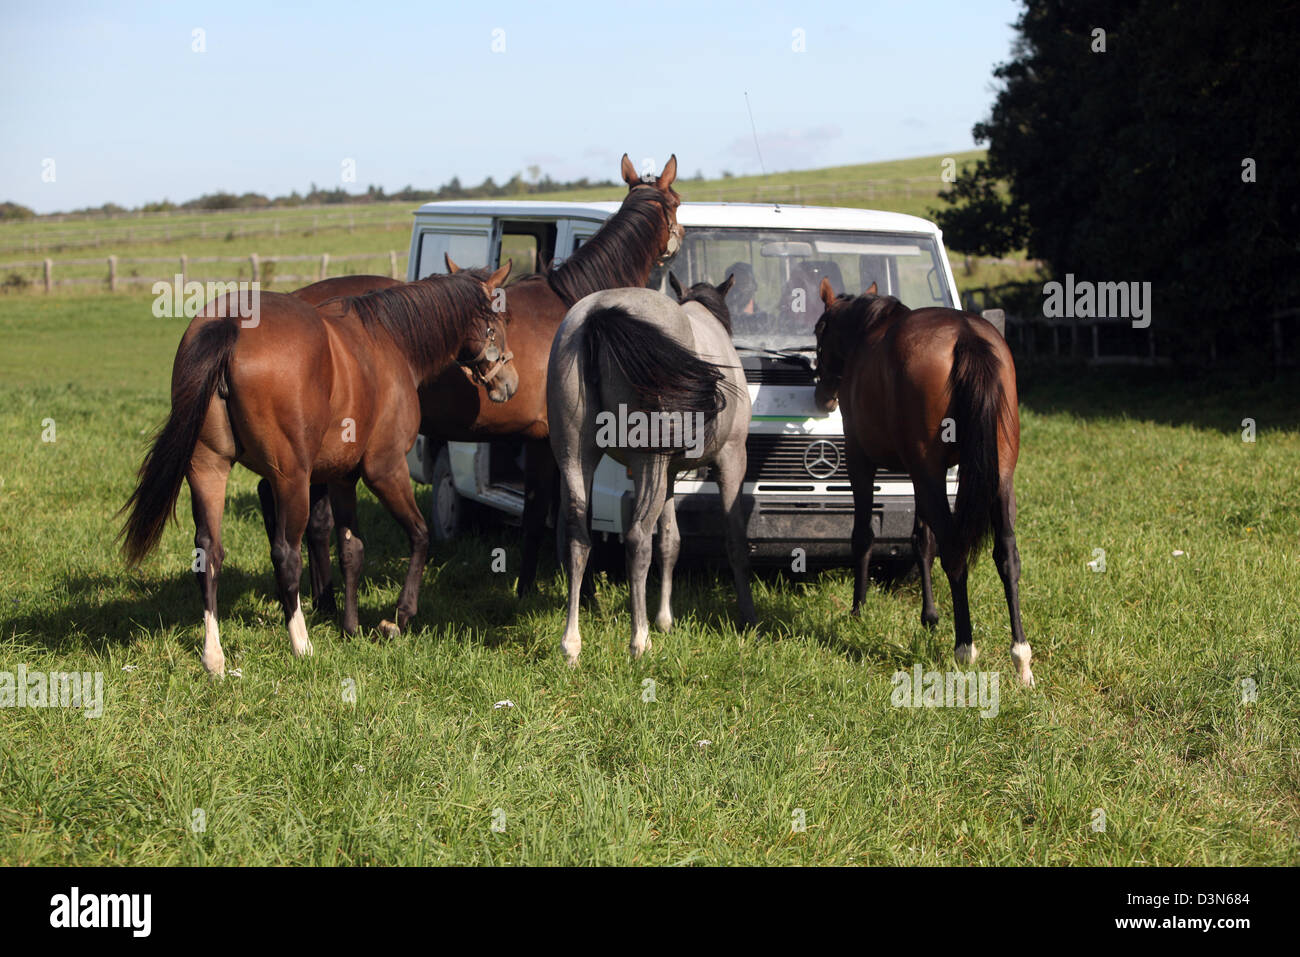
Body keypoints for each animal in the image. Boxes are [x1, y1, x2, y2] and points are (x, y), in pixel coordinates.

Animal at [116, 265, 512, 676]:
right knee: (286, 555)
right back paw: (301, 644)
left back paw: (214, 656)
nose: (509, 382)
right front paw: (398, 618)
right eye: (499, 322)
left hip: (208, 469)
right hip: (291, 479)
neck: (388, 338)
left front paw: (351, 627)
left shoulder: (341, 476)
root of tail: (232, 323)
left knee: (208, 552)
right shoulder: (384, 469)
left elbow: (351, 548)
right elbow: (418, 535)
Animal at [269, 153, 686, 608]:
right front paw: (584, 594)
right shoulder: (561, 442)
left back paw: (322, 601)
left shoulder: (538, 441)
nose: (681, 237)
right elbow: (570, 514)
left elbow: (537, 514)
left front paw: (526, 588)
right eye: (677, 202)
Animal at [543, 276, 759, 665]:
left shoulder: (671, 474)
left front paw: (665, 620)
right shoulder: (732, 458)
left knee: (577, 539)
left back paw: (572, 644)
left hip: (574, 456)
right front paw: (747, 617)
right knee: (637, 539)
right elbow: (734, 541)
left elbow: (670, 541)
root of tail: (599, 314)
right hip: (647, 464)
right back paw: (638, 640)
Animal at [811, 276, 1034, 686]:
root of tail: (966, 335)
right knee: (1007, 555)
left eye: (820, 332)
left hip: (928, 472)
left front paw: (858, 609)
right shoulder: (920, 472)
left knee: (955, 549)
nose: (823, 398)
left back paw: (965, 647)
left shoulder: (863, 460)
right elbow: (921, 539)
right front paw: (929, 616)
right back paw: (1021, 657)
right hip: (999, 478)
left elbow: (864, 535)